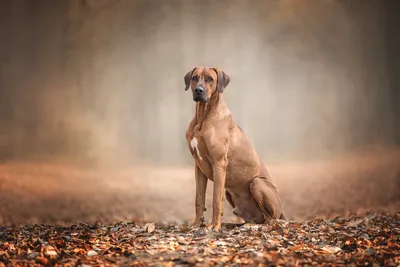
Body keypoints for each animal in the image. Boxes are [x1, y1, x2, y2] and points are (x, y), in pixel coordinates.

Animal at [184, 67, 284, 232]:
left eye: (210, 79)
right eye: (194, 78)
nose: (198, 90)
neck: (203, 116)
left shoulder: (219, 163)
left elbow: (216, 200)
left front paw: (214, 226)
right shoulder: (198, 167)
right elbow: (199, 199)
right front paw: (197, 224)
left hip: (257, 183)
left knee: (270, 220)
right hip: (230, 192)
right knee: (256, 219)